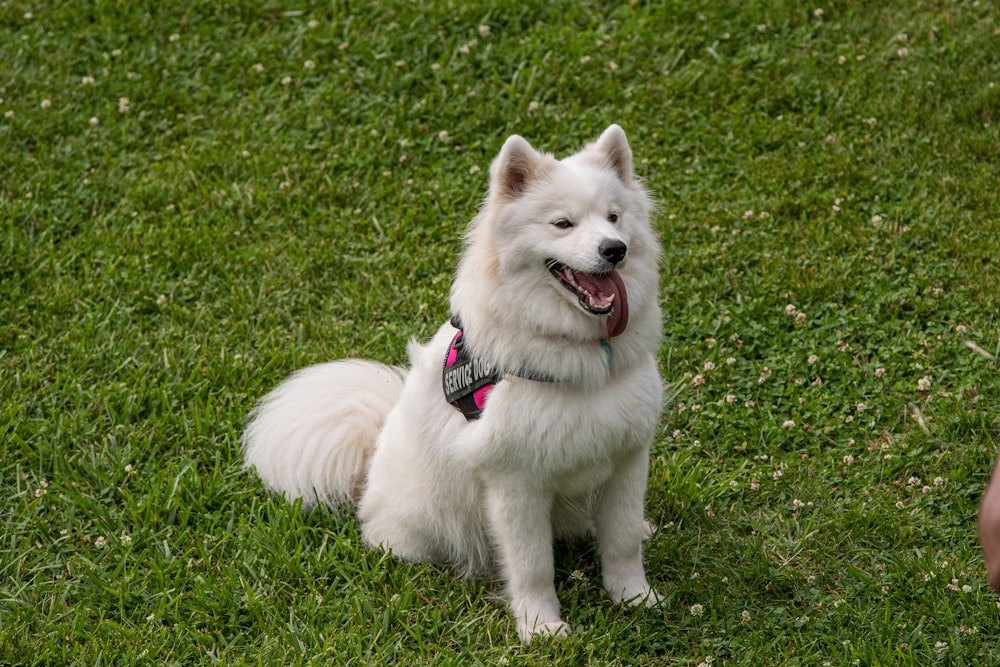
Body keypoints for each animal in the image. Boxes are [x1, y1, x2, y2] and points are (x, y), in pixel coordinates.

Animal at [242, 124, 664, 640]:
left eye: (614, 217)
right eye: (562, 224)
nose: (614, 249)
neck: (585, 358)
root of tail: (370, 460)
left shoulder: (627, 458)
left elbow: (621, 542)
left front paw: (635, 598)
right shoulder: (516, 482)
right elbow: (533, 564)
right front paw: (542, 627)